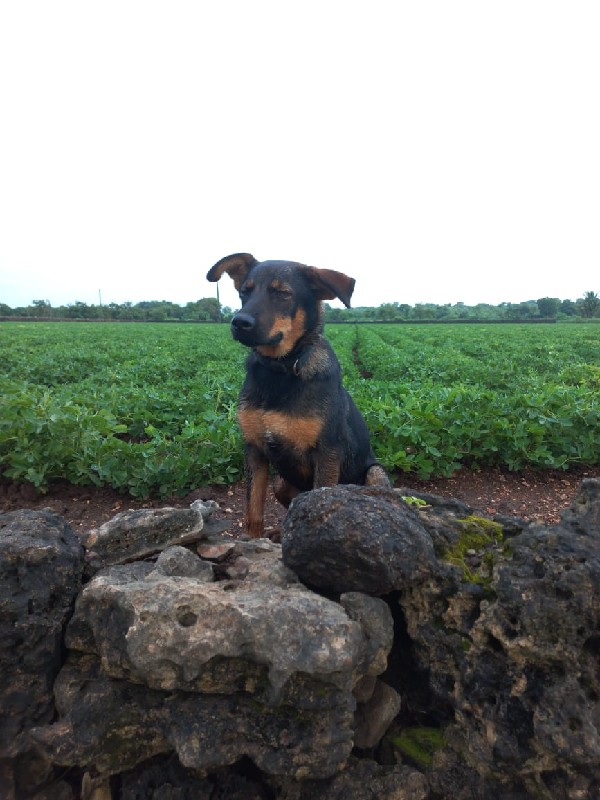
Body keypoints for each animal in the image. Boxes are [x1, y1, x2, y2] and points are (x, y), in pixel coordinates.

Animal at [206, 252, 390, 536]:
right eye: (244, 292)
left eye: (283, 293)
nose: (239, 322)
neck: (280, 369)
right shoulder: (254, 448)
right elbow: (253, 510)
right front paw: (253, 540)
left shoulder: (327, 451)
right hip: (280, 482)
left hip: (376, 474)